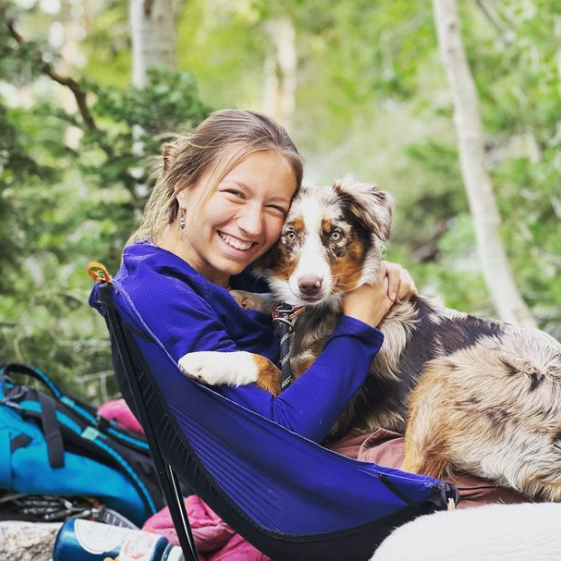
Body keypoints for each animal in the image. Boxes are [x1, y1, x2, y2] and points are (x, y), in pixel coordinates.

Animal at [179, 177, 561, 501]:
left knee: (423, 477)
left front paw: (209, 361)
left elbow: (266, 363)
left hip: (446, 377)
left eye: (335, 235)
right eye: (289, 235)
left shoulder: (329, 414)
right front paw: (243, 295)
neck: (321, 310)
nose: (309, 285)